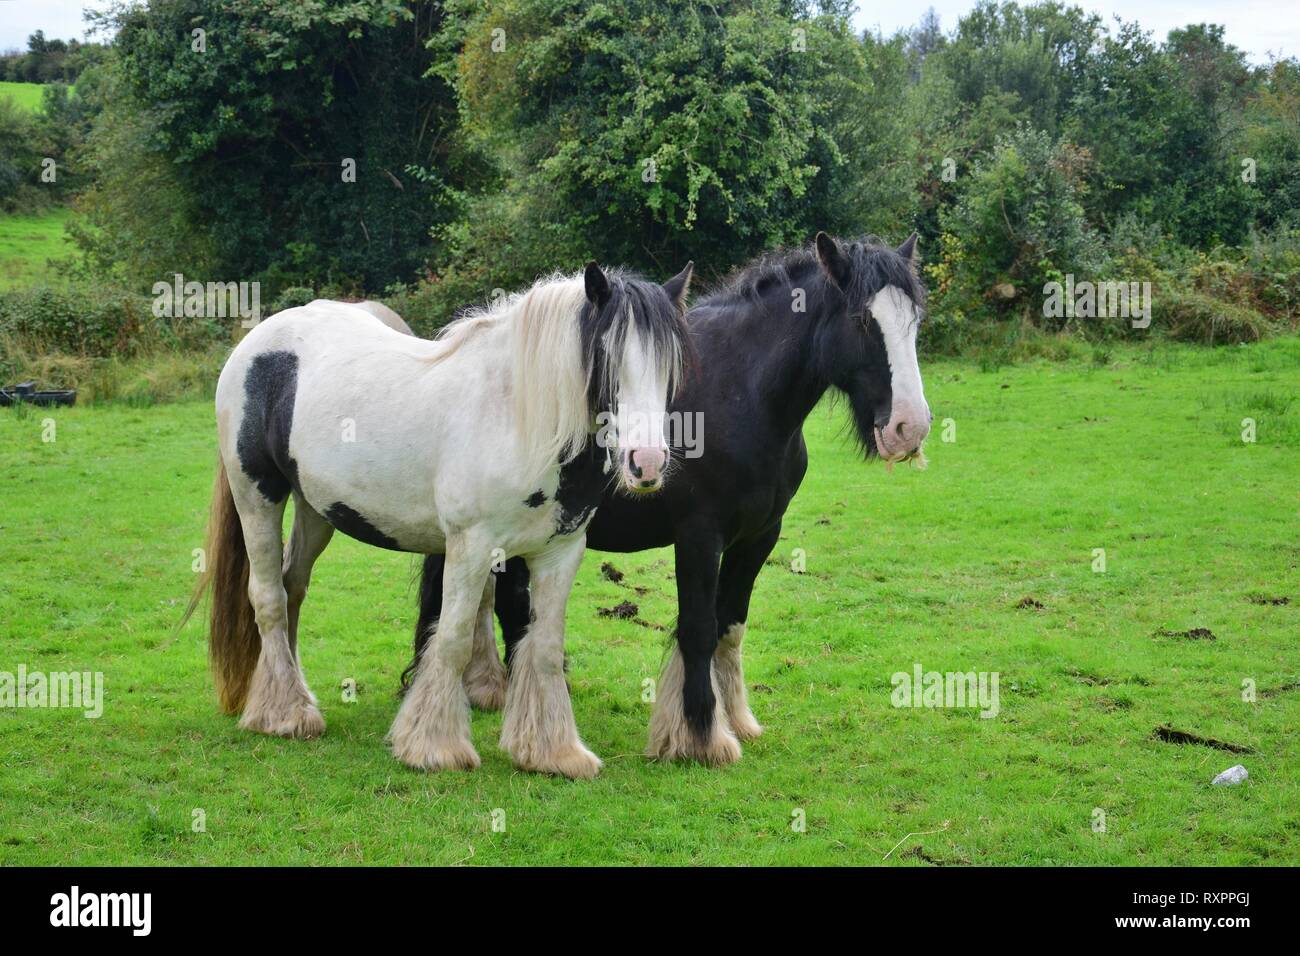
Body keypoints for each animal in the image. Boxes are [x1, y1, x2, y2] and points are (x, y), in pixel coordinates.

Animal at [189, 261, 696, 780]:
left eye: (669, 365)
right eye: (605, 355)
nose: (647, 464)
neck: (516, 417)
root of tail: (258, 341)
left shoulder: (560, 552)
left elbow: (545, 648)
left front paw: (552, 752)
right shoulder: (470, 547)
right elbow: (452, 639)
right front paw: (433, 746)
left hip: (316, 510)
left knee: (293, 588)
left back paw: (296, 695)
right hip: (258, 496)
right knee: (268, 597)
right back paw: (284, 714)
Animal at [400, 235, 930, 764]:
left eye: (915, 321)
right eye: (862, 320)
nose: (910, 427)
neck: (739, 394)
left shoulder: (758, 537)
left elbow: (730, 626)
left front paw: (735, 718)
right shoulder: (699, 535)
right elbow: (698, 628)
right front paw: (699, 734)